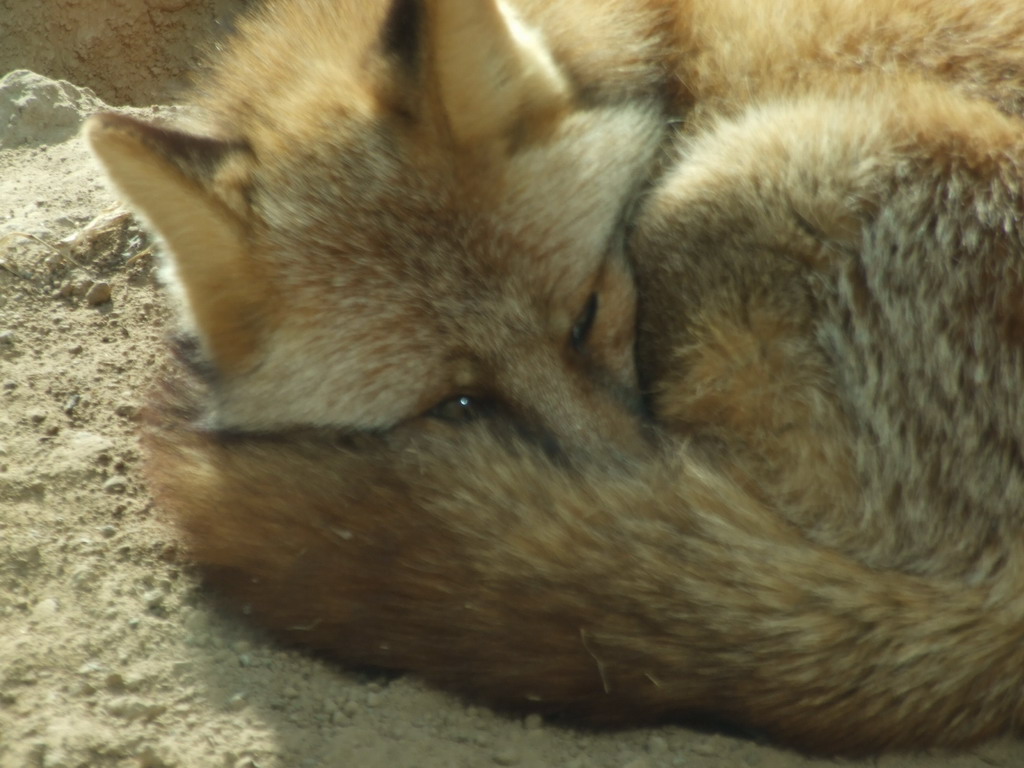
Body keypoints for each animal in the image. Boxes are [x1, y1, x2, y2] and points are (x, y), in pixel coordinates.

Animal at [81, 0, 1024, 757]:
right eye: (462, 403)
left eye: (587, 314)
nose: (623, 476)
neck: (660, 36)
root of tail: (996, 604)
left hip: (724, 187)